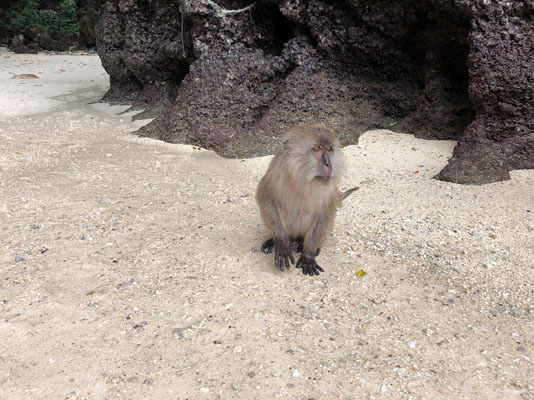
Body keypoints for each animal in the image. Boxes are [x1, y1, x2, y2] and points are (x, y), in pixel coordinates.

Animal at [256, 124, 360, 276]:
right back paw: (276, 240)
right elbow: (267, 200)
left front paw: (308, 254)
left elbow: (325, 213)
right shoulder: (275, 173)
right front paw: (281, 240)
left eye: (329, 149)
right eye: (316, 149)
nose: (328, 164)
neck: (302, 178)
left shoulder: (328, 188)